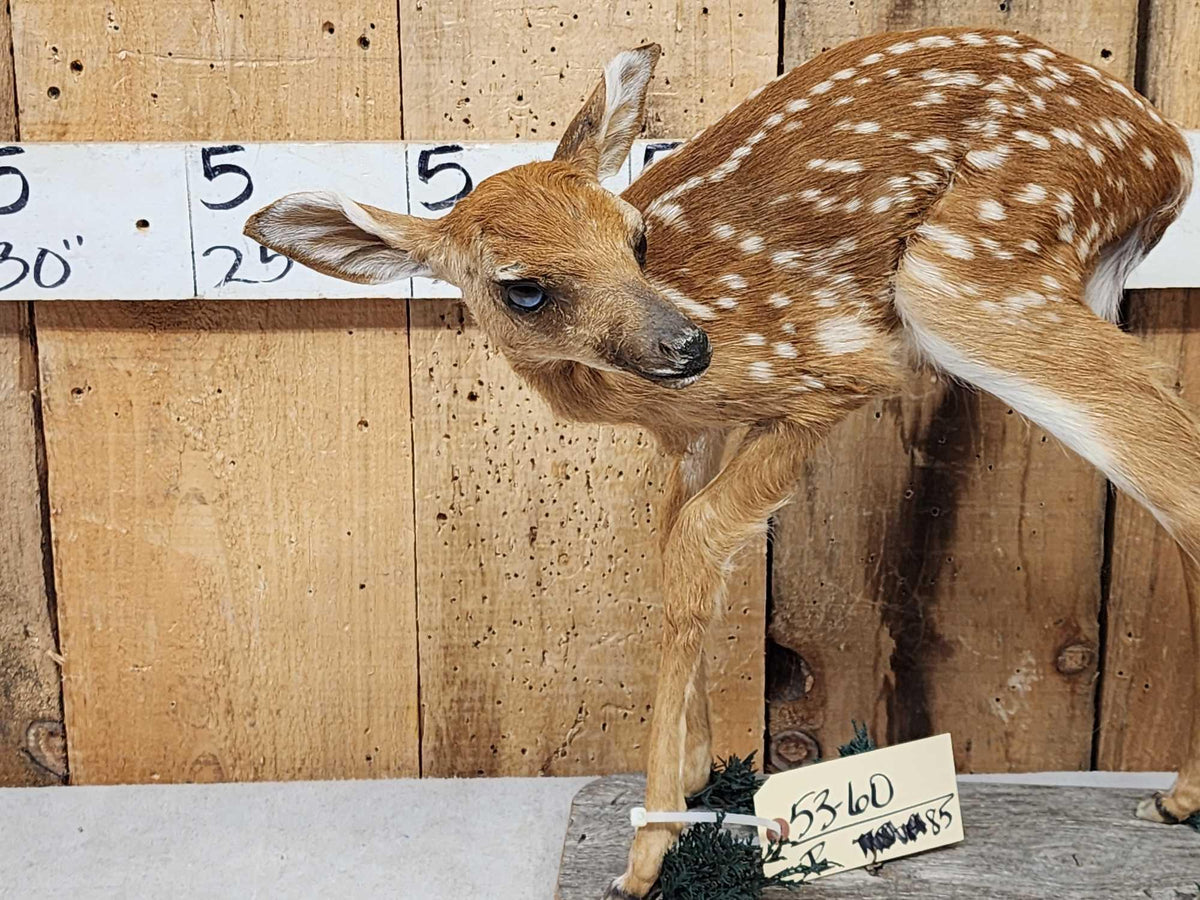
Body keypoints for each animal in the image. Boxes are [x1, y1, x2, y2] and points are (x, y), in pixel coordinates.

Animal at [244, 26, 1197, 898]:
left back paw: (1177, 797)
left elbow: (695, 545)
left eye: (634, 238)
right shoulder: (697, 431)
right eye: (525, 288)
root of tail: (1170, 152)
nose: (687, 343)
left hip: (971, 281)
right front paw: (702, 773)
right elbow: (676, 546)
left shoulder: (833, 369)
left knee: (1175, 473)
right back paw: (1176, 798)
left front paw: (645, 856)